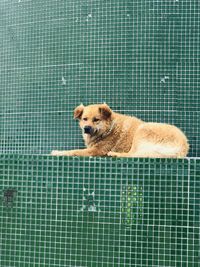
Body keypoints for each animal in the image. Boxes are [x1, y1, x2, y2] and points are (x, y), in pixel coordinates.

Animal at [51, 104, 189, 159]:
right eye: (85, 119)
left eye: (96, 120)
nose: (86, 128)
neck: (108, 129)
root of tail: (183, 145)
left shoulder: (97, 150)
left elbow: (73, 151)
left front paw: (58, 152)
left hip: (141, 130)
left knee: (133, 154)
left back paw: (115, 154)